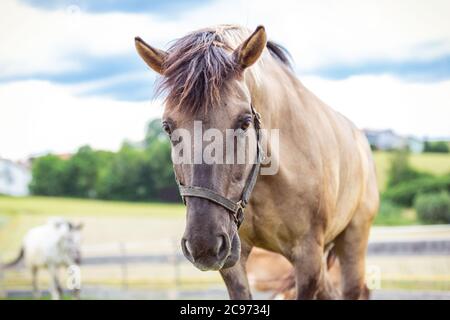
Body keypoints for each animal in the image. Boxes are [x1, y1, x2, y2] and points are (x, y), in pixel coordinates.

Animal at [134, 23, 380, 298]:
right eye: (167, 127)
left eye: (244, 122)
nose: (203, 243)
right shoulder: (234, 259)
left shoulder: (307, 259)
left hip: (353, 241)